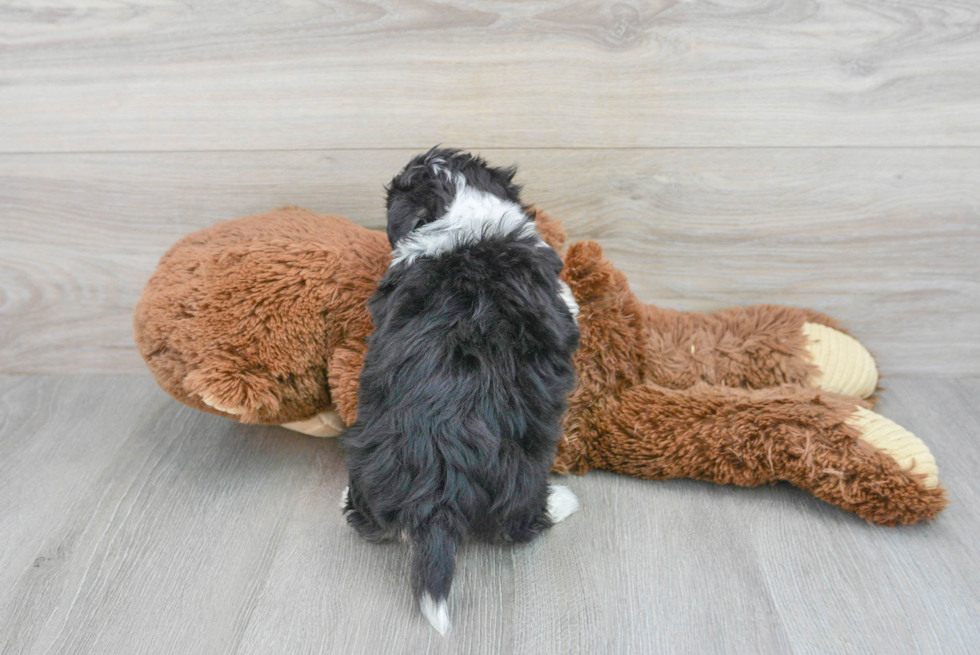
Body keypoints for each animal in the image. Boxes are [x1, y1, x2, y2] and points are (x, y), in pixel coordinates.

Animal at [340, 147, 580, 636]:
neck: (461, 216)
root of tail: (436, 494)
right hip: (525, 468)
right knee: (519, 522)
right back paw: (563, 502)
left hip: (364, 453)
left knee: (368, 518)